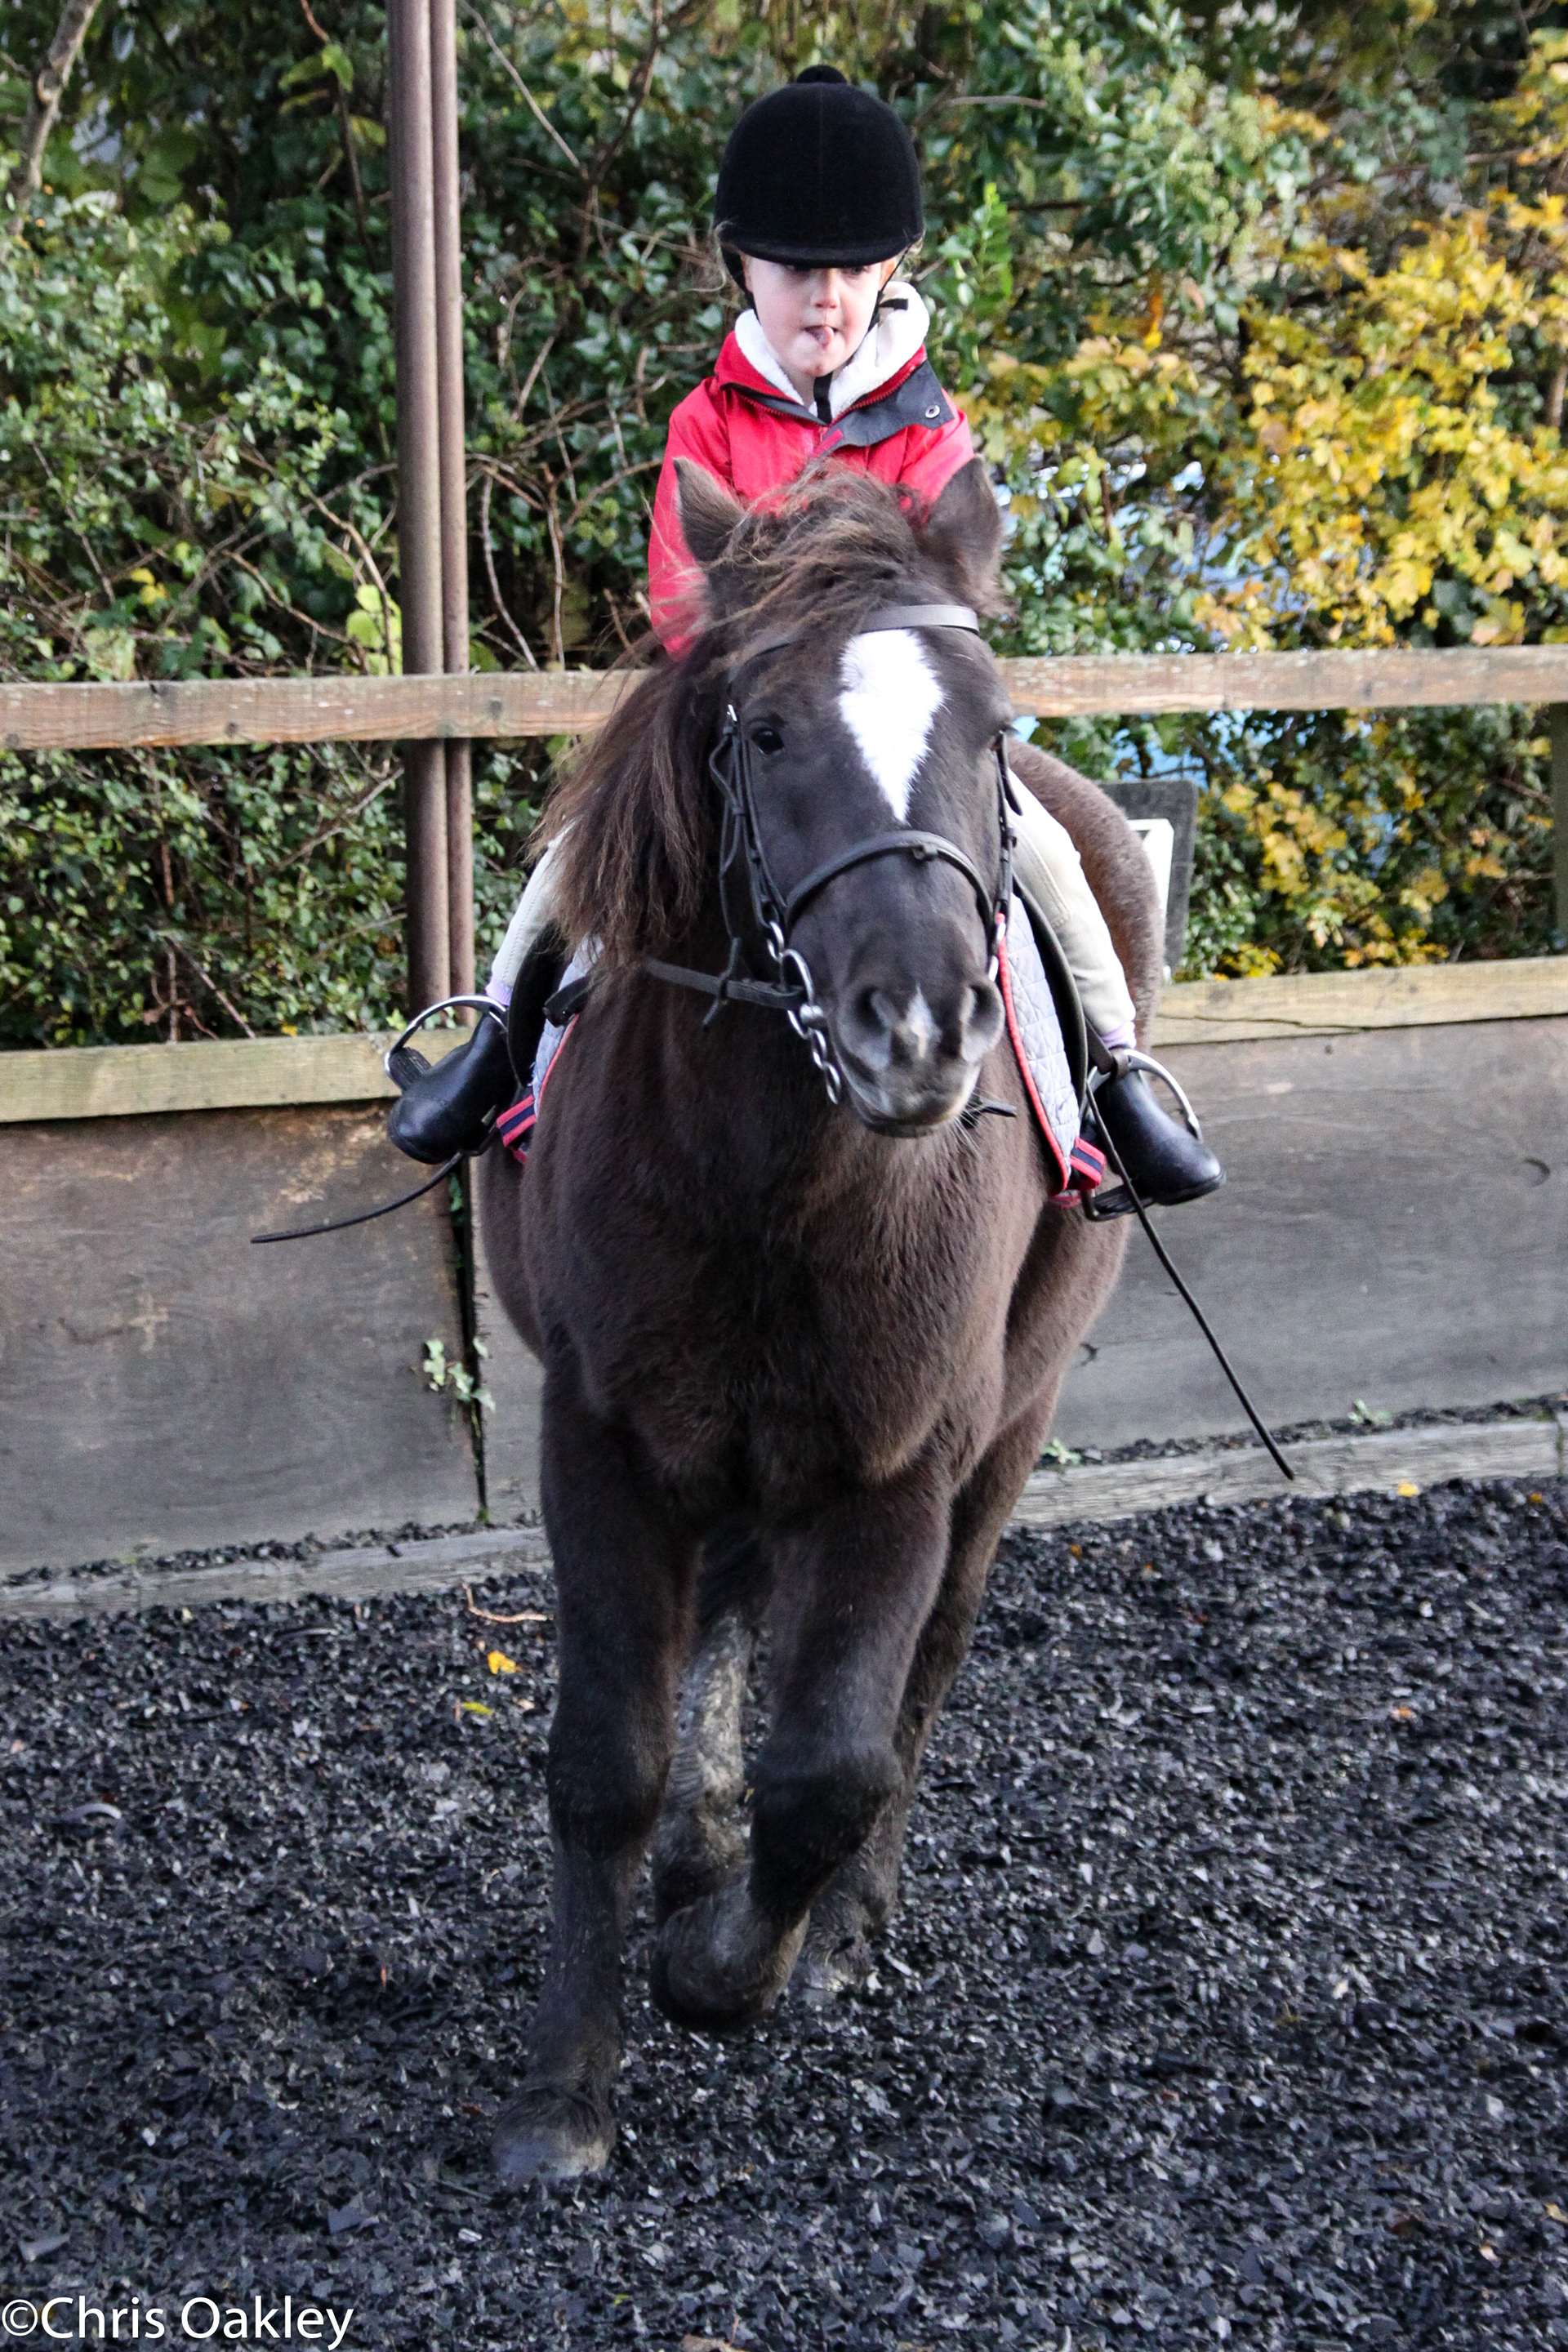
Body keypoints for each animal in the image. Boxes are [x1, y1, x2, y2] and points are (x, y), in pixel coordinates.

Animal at [479, 458, 1165, 2182]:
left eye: (987, 728)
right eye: (768, 731)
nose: (917, 1025)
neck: (770, 1176)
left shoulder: (899, 1468)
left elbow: (835, 1767)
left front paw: (727, 1969)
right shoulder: (602, 1437)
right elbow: (607, 1764)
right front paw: (563, 2096)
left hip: (1009, 1432)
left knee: (918, 1677)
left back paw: (834, 1932)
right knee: (732, 1620)